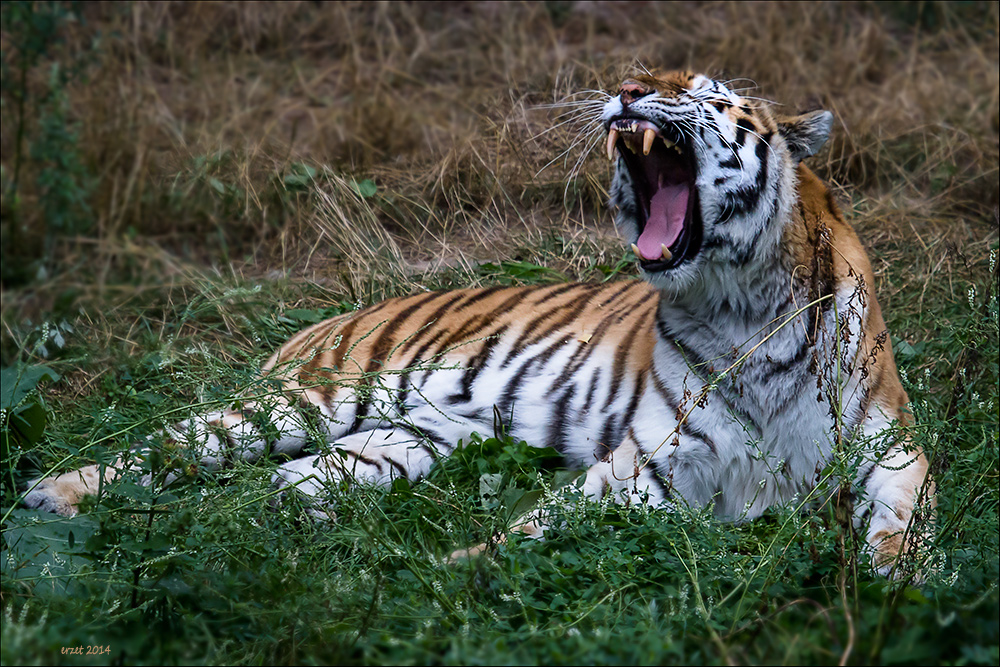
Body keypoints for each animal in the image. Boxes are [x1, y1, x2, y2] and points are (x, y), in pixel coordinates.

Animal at [19, 70, 932, 576]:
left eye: (710, 93)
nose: (630, 88)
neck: (741, 304)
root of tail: (320, 322)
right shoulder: (651, 463)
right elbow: (533, 528)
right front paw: (457, 573)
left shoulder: (894, 444)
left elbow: (904, 526)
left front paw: (898, 585)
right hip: (313, 398)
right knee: (170, 443)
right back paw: (52, 495)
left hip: (411, 435)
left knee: (289, 476)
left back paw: (291, 506)